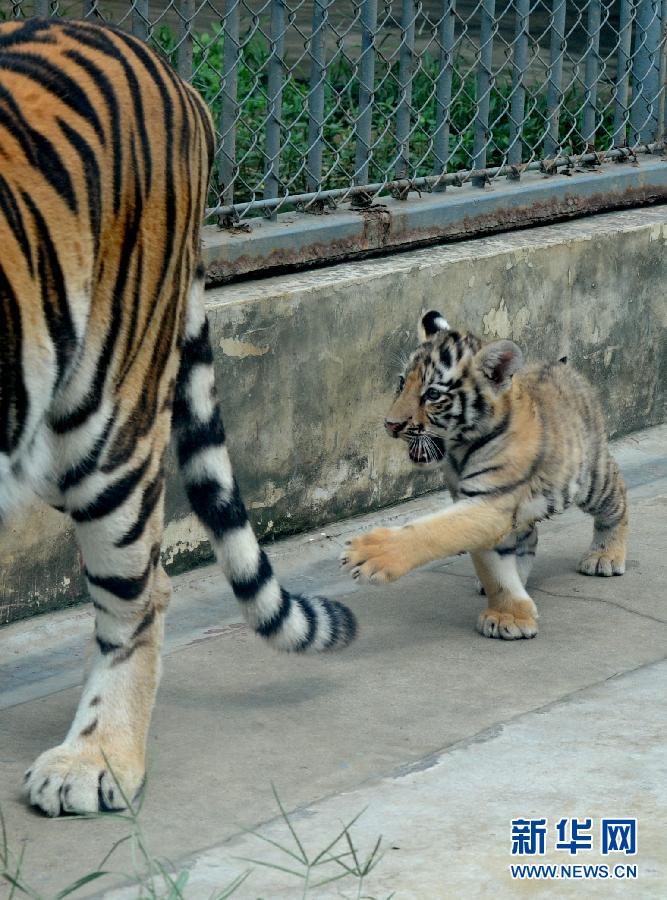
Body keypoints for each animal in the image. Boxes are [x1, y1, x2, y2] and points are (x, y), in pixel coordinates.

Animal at [342, 310, 628, 640]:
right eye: (402, 382)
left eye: (433, 394)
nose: (391, 425)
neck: (459, 449)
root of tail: (561, 365)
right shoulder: (477, 503)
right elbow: (494, 569)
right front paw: (509, 615)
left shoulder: (490, 499)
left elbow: (435, 530)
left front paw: (371, 553)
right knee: (528, 537)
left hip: (592, 478)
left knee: (617, 498)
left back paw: (605, 556)